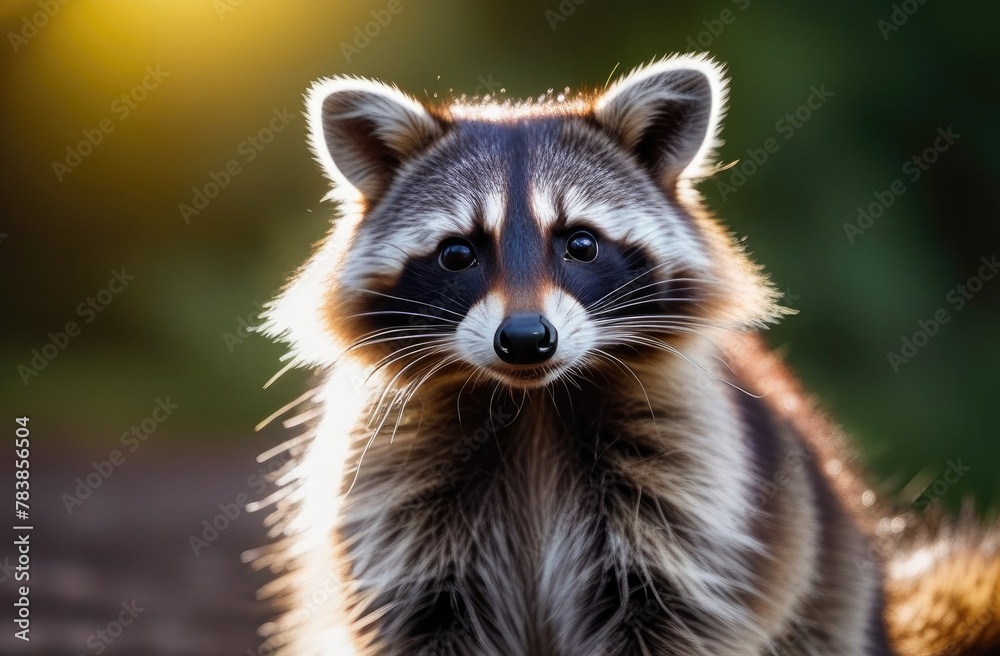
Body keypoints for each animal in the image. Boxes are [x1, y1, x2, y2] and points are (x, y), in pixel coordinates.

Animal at [250, 56, 1000, 656]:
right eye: (458, 253)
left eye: (579, 243)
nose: (526, 339)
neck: (531, 405)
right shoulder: (402, 515)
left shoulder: (692, 499)